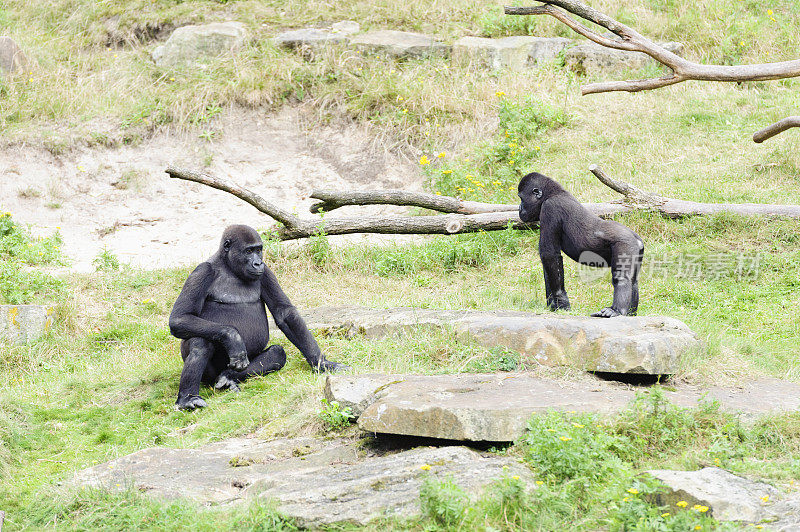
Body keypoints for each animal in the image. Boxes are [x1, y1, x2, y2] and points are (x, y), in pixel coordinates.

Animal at [169, 222, 346, 410]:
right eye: (248, 251)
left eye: (259, 249)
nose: (258, 263)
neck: (228, 266)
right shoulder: (202, 271)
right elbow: (180, 318)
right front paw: (233, 338)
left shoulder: (266, 271)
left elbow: (284, 313)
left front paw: (321, 363)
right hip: (206, 375)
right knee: (201, 342)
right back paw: (188, 398)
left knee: (277, 353)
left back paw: (228, 377)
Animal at [520, 172, 644, 318]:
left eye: (521, 198)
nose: (519, 208)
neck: (553, 193)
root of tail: (636, 239)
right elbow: (548, 263)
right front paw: (552, 304)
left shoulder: (550, 208)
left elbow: (549, 254)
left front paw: (561, 301)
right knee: (633, 281)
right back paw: (630, 314)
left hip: (626, 243)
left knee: (622, 277)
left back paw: (616, 310)